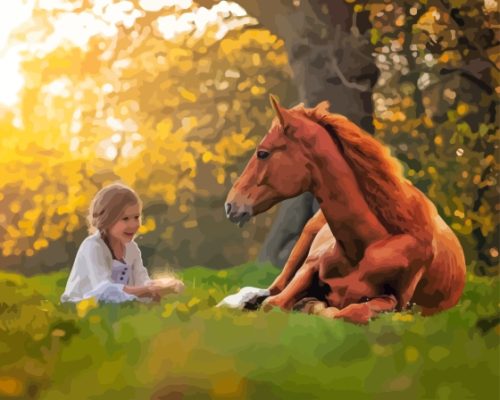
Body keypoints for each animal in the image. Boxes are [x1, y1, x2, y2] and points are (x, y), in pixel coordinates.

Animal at [225, 97, 466, 324]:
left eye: (262, 153)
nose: (230, 205)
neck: (367, 244)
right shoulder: (308, 269)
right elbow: (272, 304)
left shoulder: (397, 303)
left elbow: (349, 313)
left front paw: (313, 306)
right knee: (270, 290)